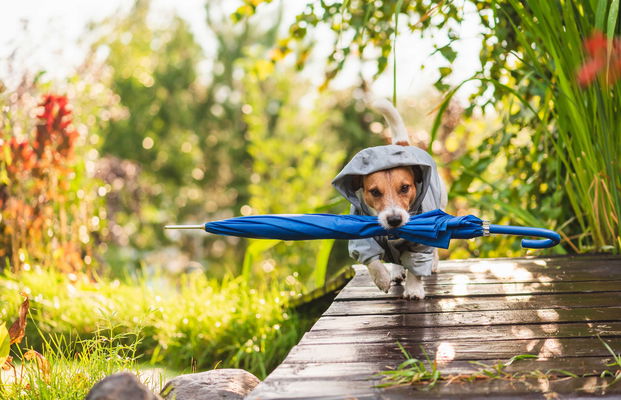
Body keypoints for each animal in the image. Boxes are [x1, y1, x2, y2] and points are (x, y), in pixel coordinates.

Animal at [334, 100, 446, 300]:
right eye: (374, 192)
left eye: (405, 188)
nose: (394, 220)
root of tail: (402, 144)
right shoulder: (361, 238)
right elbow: (371, 260)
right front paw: (382, 279)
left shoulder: (420, 241)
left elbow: (416, 265)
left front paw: (414, 289)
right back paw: (395, 272)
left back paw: (432, 263)